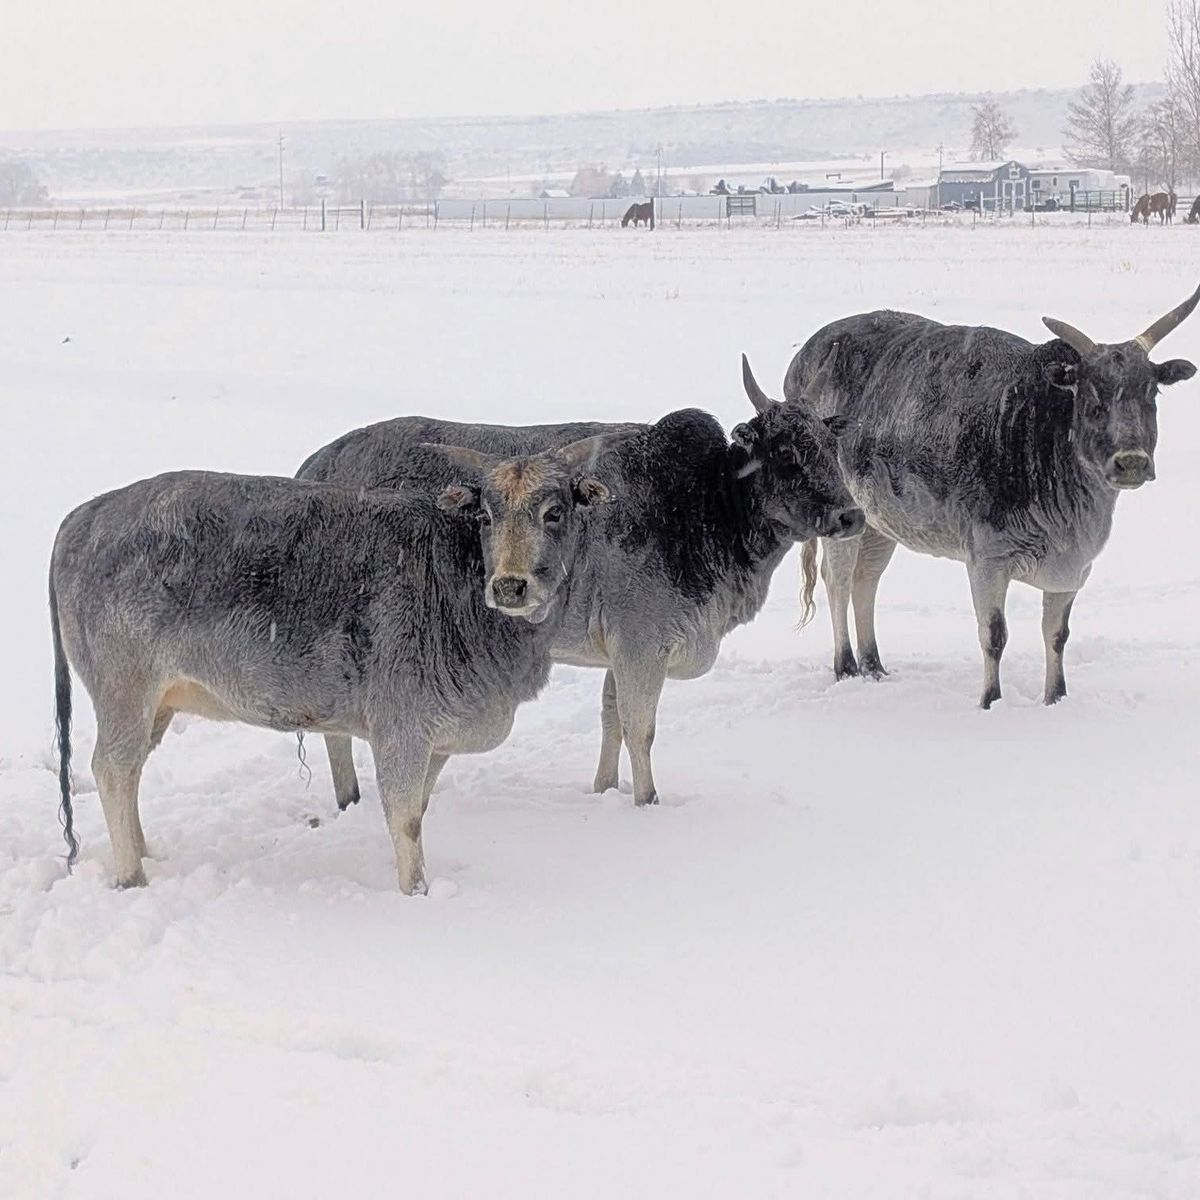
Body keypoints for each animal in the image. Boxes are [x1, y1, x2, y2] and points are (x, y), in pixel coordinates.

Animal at [49, 435, 627, 894]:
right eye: (487, 514)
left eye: (554, 512)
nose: (509, 585)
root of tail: (85, 514)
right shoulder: (401, 728)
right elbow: (405, 819)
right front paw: (415, 893)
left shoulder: (436, 740)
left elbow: (419, 808)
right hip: (125, 689)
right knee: (112, 769)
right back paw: (132, 874)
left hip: (156, 704)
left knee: (131, 771)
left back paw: (146, 851)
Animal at [297, 361, 865, 810]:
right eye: (788, 453)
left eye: (830, 445)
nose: (852, 515)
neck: (704, 503)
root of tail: (316, 462)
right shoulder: (641, 644)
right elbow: (640, 728)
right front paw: (646, 800)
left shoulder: (620, 650)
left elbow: (611, 721)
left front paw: (605, 789)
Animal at [782, 286, 1200, 708]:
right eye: (1093, 400)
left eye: (1151, 393)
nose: (1131, 462)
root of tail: (809, 353)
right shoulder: (987, 560)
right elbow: (994, 635)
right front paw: (991, 700)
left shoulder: (1074, 570)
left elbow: (1057, 636)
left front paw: (1056, 698)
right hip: (843, 517)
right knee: (837, 580)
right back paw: (847, 666)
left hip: (879, 522)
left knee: (866, 578)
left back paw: (874, 666)